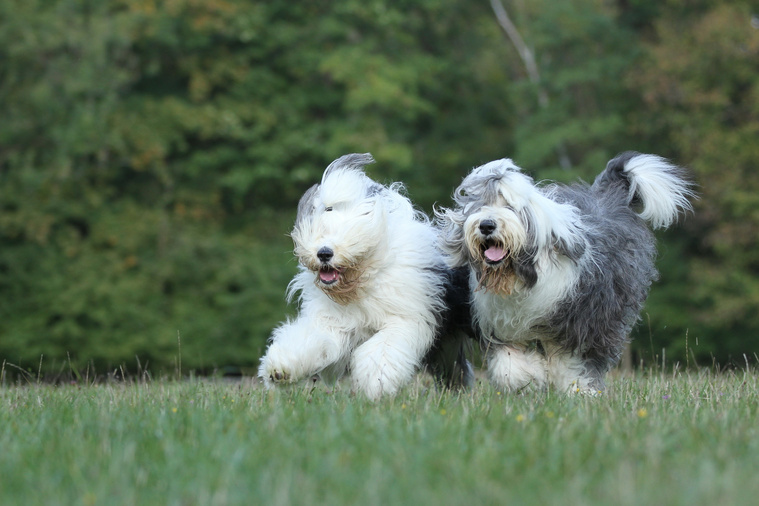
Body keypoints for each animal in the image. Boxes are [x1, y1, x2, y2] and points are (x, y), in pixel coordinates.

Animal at [262, 153, 476, 400]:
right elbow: (312, 339)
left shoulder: (404, 318)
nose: (323, 253)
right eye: (320, 232)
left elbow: (383, 349)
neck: (364, 278)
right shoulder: (333, 321)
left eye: (347, 233)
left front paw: (376, 383)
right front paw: (281, 368)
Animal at [440, 152, 696, 394]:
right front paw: (531, 378)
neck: (521, 277)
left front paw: (580, 390)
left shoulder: (583, 321)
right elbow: (509, 364)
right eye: (481, 206)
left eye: (511, 208)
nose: (486, 225)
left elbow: (573, 362)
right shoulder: (500, 324)